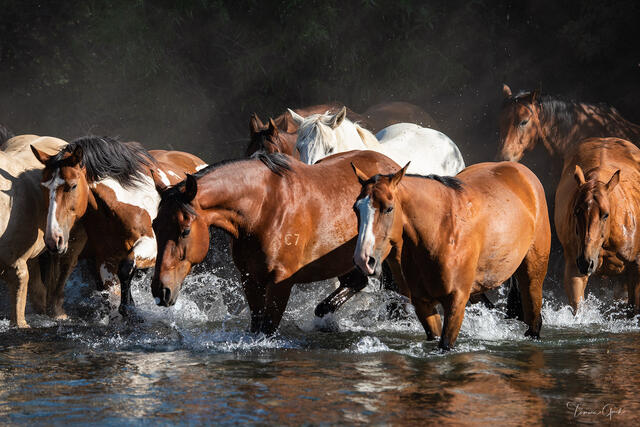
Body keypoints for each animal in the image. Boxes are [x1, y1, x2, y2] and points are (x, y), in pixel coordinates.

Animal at [30, 136, 207, 318]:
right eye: (44, 187)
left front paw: (129, 307)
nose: (53, 239)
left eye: (72, 186)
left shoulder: (152, 245)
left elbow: (126, 267)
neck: (120, 210)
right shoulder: (105, 261)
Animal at [150, 150, 444, 335]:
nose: (160, 290)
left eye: (185, 230)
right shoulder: (250, 280)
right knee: (355, 283)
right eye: (155, 226)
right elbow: (256, 325)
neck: (263, 208)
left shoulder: (281, 282)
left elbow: (268, 328)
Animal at [351, 161, 550, 349]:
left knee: (534, 322)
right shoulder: (423, 303)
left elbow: (445, 344)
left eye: (389, 208)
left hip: (532, 278)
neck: (441, 231)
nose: (364, 260)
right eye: (356, 209)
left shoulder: (456, 301)